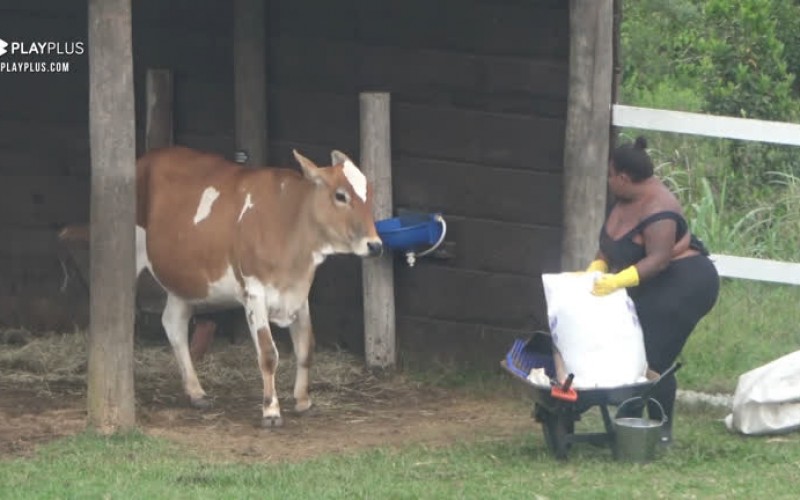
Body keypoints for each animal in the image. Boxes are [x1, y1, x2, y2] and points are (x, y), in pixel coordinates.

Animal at [134, 145, 383, 427]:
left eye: (370, 193)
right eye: (340, 195)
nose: (375, 245)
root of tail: (147, 158)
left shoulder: (299, 292)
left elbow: (306, 347)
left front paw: (303, 401)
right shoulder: (254, 292)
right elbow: (268, 354)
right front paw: (271, 410)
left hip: (184, 279)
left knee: (173, 323)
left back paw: (196, 392)